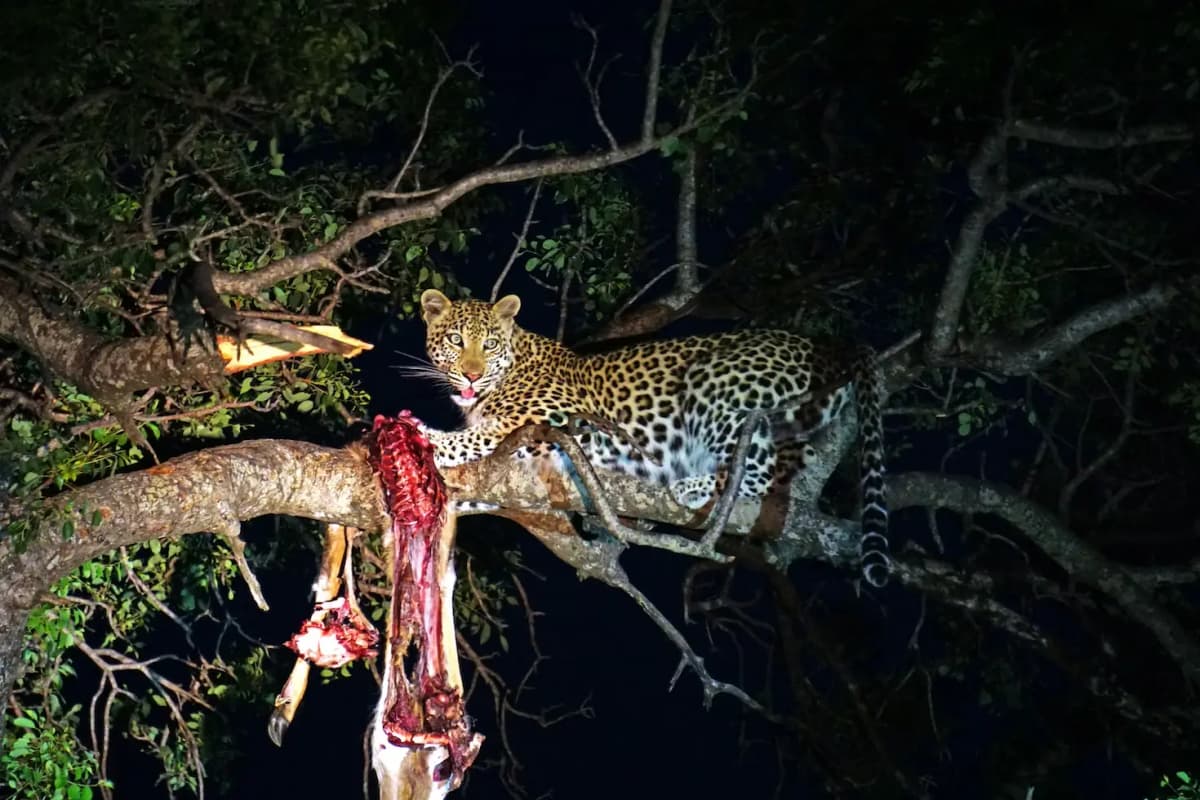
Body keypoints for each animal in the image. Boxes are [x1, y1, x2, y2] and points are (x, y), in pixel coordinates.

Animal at [412, 289, 892, 587]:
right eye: (455, 340)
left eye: (490, 344)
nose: (471, 374)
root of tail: (817, 344)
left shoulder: (552, 419)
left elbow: (480, 436)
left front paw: (428, 437)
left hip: (713, 381)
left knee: (760, 469)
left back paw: (690, 485)